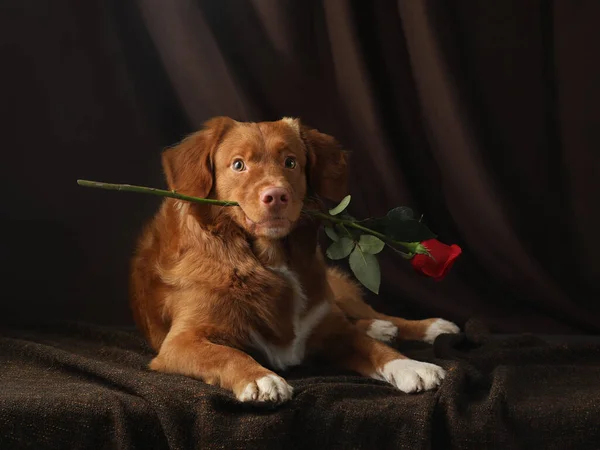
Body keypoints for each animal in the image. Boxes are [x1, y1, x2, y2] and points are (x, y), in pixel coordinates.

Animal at [131, 117, 460, 404]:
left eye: (290, 162)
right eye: (238, 165)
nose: (276, 195)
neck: (269, 258)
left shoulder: (331, 330)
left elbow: (373, 348)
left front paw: (411, 366)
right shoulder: (180, 343)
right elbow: (226, 353)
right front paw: (260, 378)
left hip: (337, 291)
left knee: (370, 314)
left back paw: (424, 326)